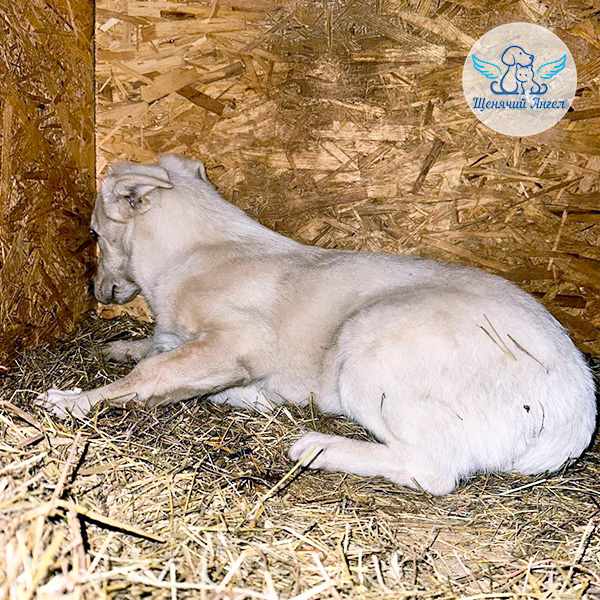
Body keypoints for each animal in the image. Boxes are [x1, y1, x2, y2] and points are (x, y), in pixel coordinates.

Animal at [36, 155, 596, 495]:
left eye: (94, 233)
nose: (95, 292)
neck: (194, 254)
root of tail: (574, 409)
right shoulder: (187, 339)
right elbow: (154, 349)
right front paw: (118, 347)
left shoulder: (239, 341)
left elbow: (149, 374)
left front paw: (71, 400)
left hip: (370, 347)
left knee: (433, 468)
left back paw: (318, 446)